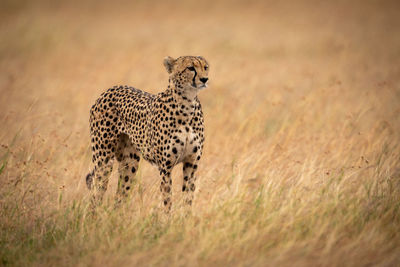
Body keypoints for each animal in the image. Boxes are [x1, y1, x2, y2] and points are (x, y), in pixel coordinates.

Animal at [85, 55, 209, 213]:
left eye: (205, 67)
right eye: (190, 68)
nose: (205, 79)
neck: (187, 105)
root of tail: (110, 89)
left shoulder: (191, 164)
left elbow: (188, 199)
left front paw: (186, 218)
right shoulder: (165, 168)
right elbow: (167, 200)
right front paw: (168, 219)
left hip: (129, 163)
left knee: (120, 195)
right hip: (104, 160)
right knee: (96, 193)